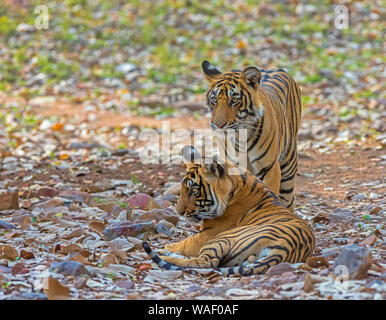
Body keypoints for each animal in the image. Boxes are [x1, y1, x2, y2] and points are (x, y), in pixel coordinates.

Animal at [142, 145, 314, 276]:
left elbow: (182, 244)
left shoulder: (205, 236)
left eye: (194, 190)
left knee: (205, 262)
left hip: (223, 238)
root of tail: (283, 248)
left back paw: (164, 255)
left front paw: (166, 248)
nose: (178, 212)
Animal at [202, 60, 302, 211]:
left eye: (234, 100)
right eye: (214, 99)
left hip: (288, 167)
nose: (218, 125)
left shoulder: (269, 168)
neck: (241, 135)